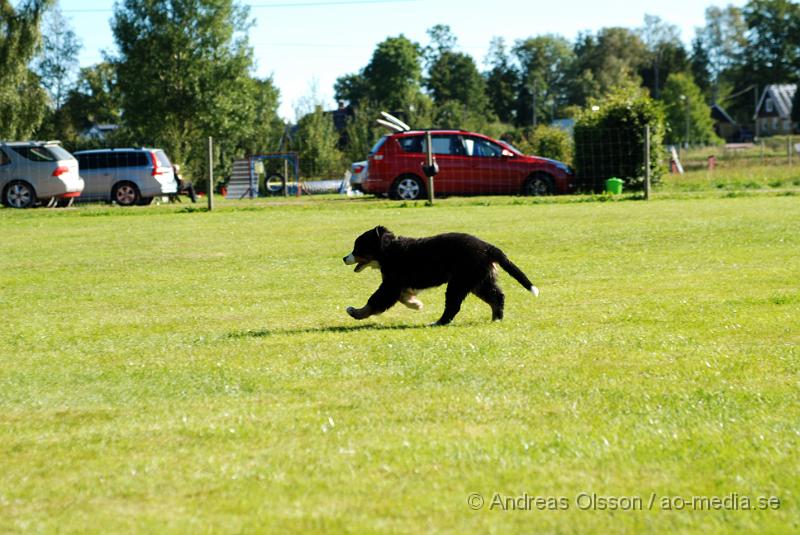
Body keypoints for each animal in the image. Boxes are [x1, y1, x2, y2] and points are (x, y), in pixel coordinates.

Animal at [340, 226, 540, 326]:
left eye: (358, 247)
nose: (344, 258)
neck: (388, 249)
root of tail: (487, 247)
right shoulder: (399, 284)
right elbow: (403, 297)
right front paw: (416, 304)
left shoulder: (391, 284)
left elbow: (374, 301)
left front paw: (355, 312)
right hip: (478, 281)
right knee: (497, 297)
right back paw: (496, 319)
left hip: (460, 282)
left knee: (453, 306)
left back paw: (439, 322)